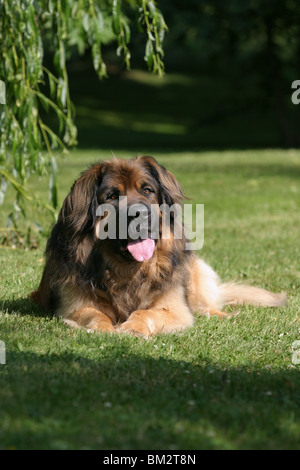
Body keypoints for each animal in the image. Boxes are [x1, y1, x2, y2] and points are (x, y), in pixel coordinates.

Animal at [30, 155, 286, 338]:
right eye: (112, 196)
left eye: (147, 190)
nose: (139, 214)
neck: (128, 270)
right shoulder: (76, 304)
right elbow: (95, 314)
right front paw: (102, 329)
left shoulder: (172, 306)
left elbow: (146, 312)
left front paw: (133, 328)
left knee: (202, 303)